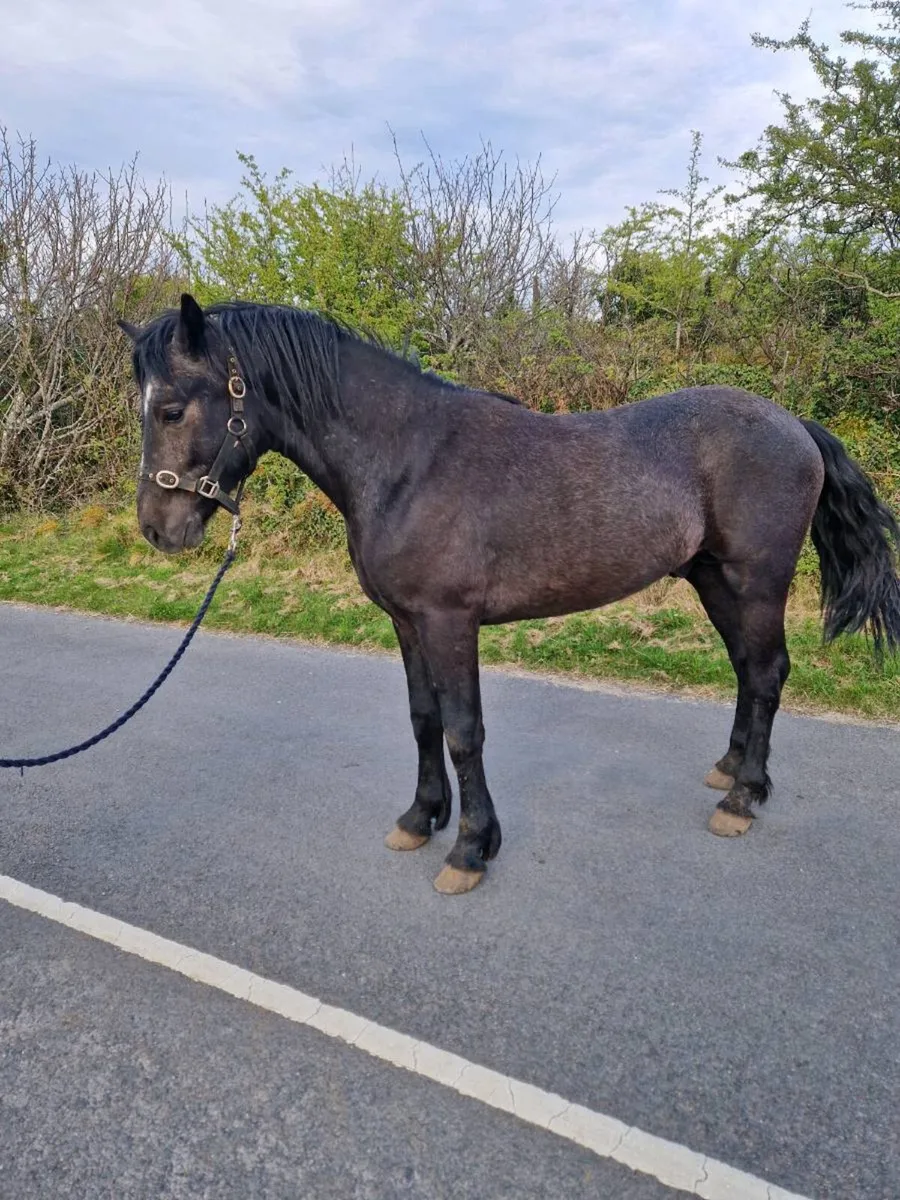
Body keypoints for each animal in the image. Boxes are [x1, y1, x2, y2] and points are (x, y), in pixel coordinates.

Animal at [119, 294, 900, 895]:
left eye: (173, 410)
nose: (158, 529)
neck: (408, 460)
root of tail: (794, 424)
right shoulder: (407, 623)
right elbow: (423, 720)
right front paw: (420, 819)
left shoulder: (450, 622)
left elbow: (464, 731)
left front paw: (471, 848)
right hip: (714, 581)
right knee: (746, 671)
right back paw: (731, 771)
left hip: (756, 582)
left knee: (767, 673)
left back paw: (744, 798)